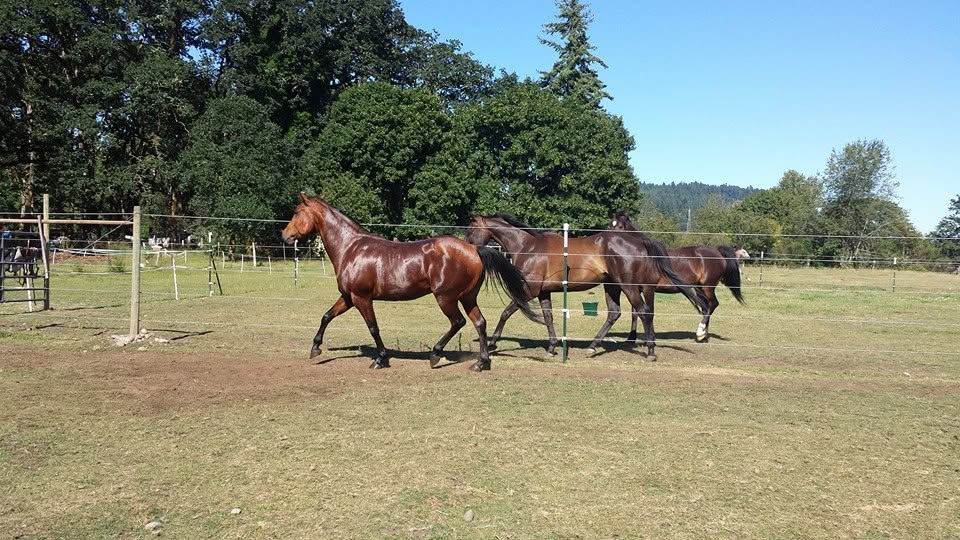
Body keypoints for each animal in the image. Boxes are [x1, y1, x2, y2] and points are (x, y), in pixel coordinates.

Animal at [281, 194, 541, 371]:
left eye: (296, 212)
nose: (284, 236)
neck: (351, 248)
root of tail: (474, 249)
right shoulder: (348, 297)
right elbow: (326, 316)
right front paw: (315, 348)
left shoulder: (361, 298)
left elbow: (373, 327)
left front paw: (381, 359)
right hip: (467, 297)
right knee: (480, 322)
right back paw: (481, 363)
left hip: (446, 297)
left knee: (457, 322)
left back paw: (436, 354)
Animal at [464, 214, 708, 360]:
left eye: (470, 229)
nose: (467, 248)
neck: (528, 246)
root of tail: (639, 241)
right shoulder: (543, 292)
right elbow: (548, 317)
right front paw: (552, 348)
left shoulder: (529, 290)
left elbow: (506, 313)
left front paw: (493, 343)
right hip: (612, 287)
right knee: (615, 313)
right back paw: (593, 345)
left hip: (629, 287)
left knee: (643, 312)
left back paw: (650, 351)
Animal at [609, 210, 746, 342]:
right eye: (610, 225)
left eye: (620, 226)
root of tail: (717, 252)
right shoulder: (635, 289)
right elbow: (635, 313)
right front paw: (631, 338)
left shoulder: (647, 288)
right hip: (698, 289)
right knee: (706, 307)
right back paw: (703, 336)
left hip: (708, 287)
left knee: (713, 304)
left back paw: (700, 332)